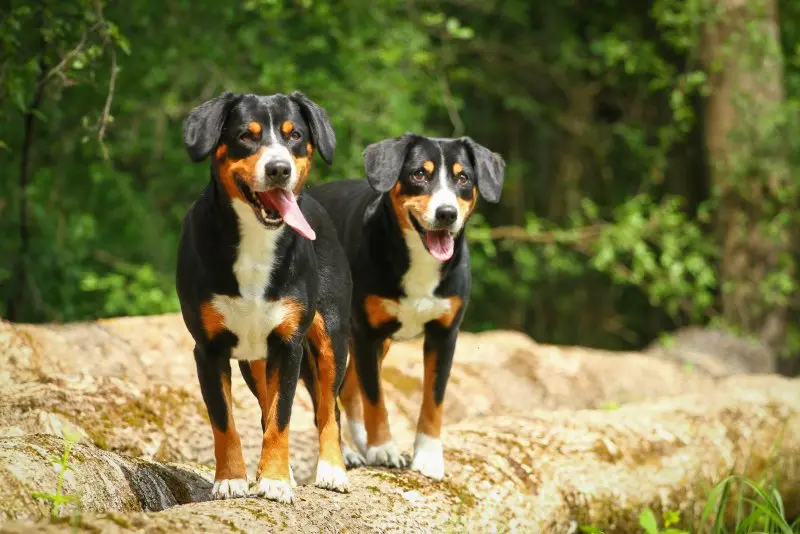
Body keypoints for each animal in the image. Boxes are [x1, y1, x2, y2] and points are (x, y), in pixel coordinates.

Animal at [178, 90, 354, 504]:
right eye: (247, 135)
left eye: (294, 135)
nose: (278, 169)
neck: (257, 242)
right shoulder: (208, 349)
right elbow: (225, 421)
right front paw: (232, 479)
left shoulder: (288, 345)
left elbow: (282, 416)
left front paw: (274, 481)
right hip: (254, 361)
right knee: (263, 408)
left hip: (331, 339)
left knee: (329, 410)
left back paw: (332, 471)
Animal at [308, 133, 506, 482]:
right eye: (419, 174)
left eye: (463, 178)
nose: (446, 213)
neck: (420, 260)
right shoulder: (366, 333)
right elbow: (376, 398)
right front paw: (382, 449)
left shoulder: (444, 334)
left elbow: (433, 399)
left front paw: (428, 456)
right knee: (327, 395)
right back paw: (346, 452)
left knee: (348, 390)